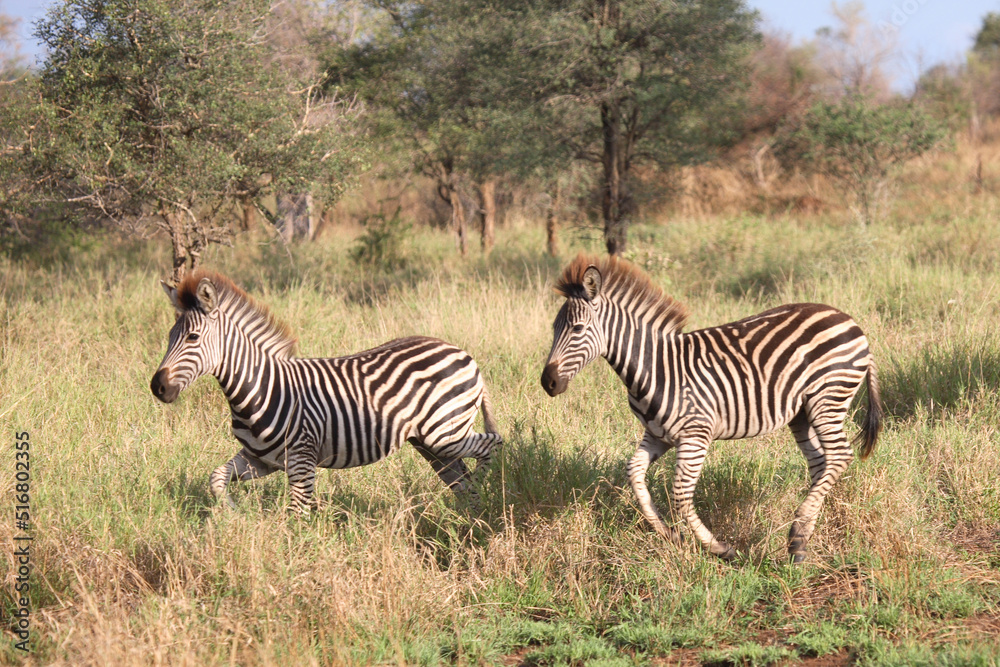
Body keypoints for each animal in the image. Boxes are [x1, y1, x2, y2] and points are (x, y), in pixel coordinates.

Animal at [150, 271, 502, 513]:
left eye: (192, 337)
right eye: (169, 336)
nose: (157, 387)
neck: (261, 388)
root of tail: (462, 352)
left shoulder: (302, 461)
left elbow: (296, 515)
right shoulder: (259, 459)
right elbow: (216, 479)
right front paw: (233, 514)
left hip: (444, 433)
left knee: (493, 444)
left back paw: (486, 491)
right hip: (432, 444)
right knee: (461, 480)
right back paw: (467, 514)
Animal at [540, 254, 882, 562]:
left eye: (578, 329)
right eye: (554, 328)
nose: (548, 383)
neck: (654, 367)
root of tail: (848, 319)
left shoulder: (695, 434)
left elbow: (680, 494)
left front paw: (718, 548)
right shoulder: (657, 434)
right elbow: (634, 473)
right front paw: (669, 534)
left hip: (828, 398)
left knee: (839, 456)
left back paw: (797, 534)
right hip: (802, 413)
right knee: (821, 462)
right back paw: (799, 544)